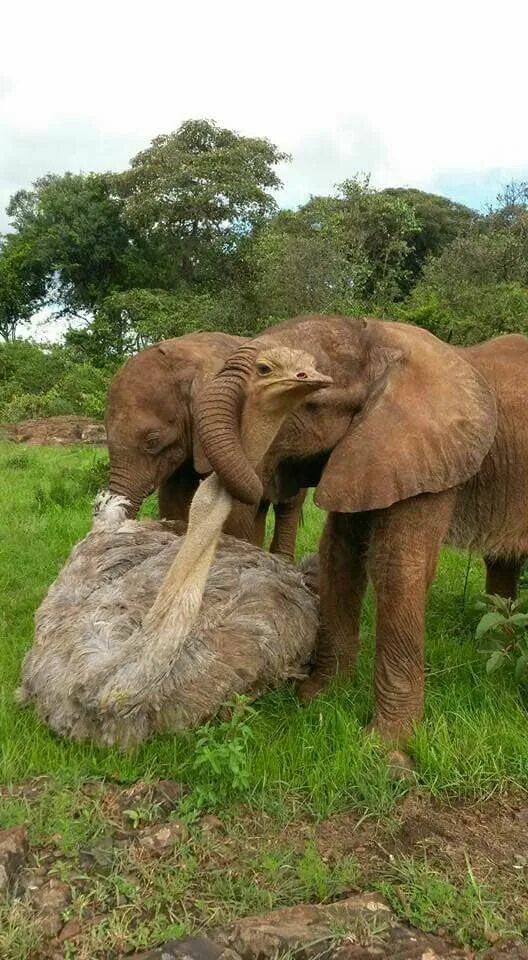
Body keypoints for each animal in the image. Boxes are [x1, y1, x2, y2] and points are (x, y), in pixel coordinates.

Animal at [196, 316, 528, 752]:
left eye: (310, 399)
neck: (381, 338)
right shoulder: (360, 454)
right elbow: (340, 555)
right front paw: (317, 699)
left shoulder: (424, 458)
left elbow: (398, 566)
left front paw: (386, 745)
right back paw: (498, 648)